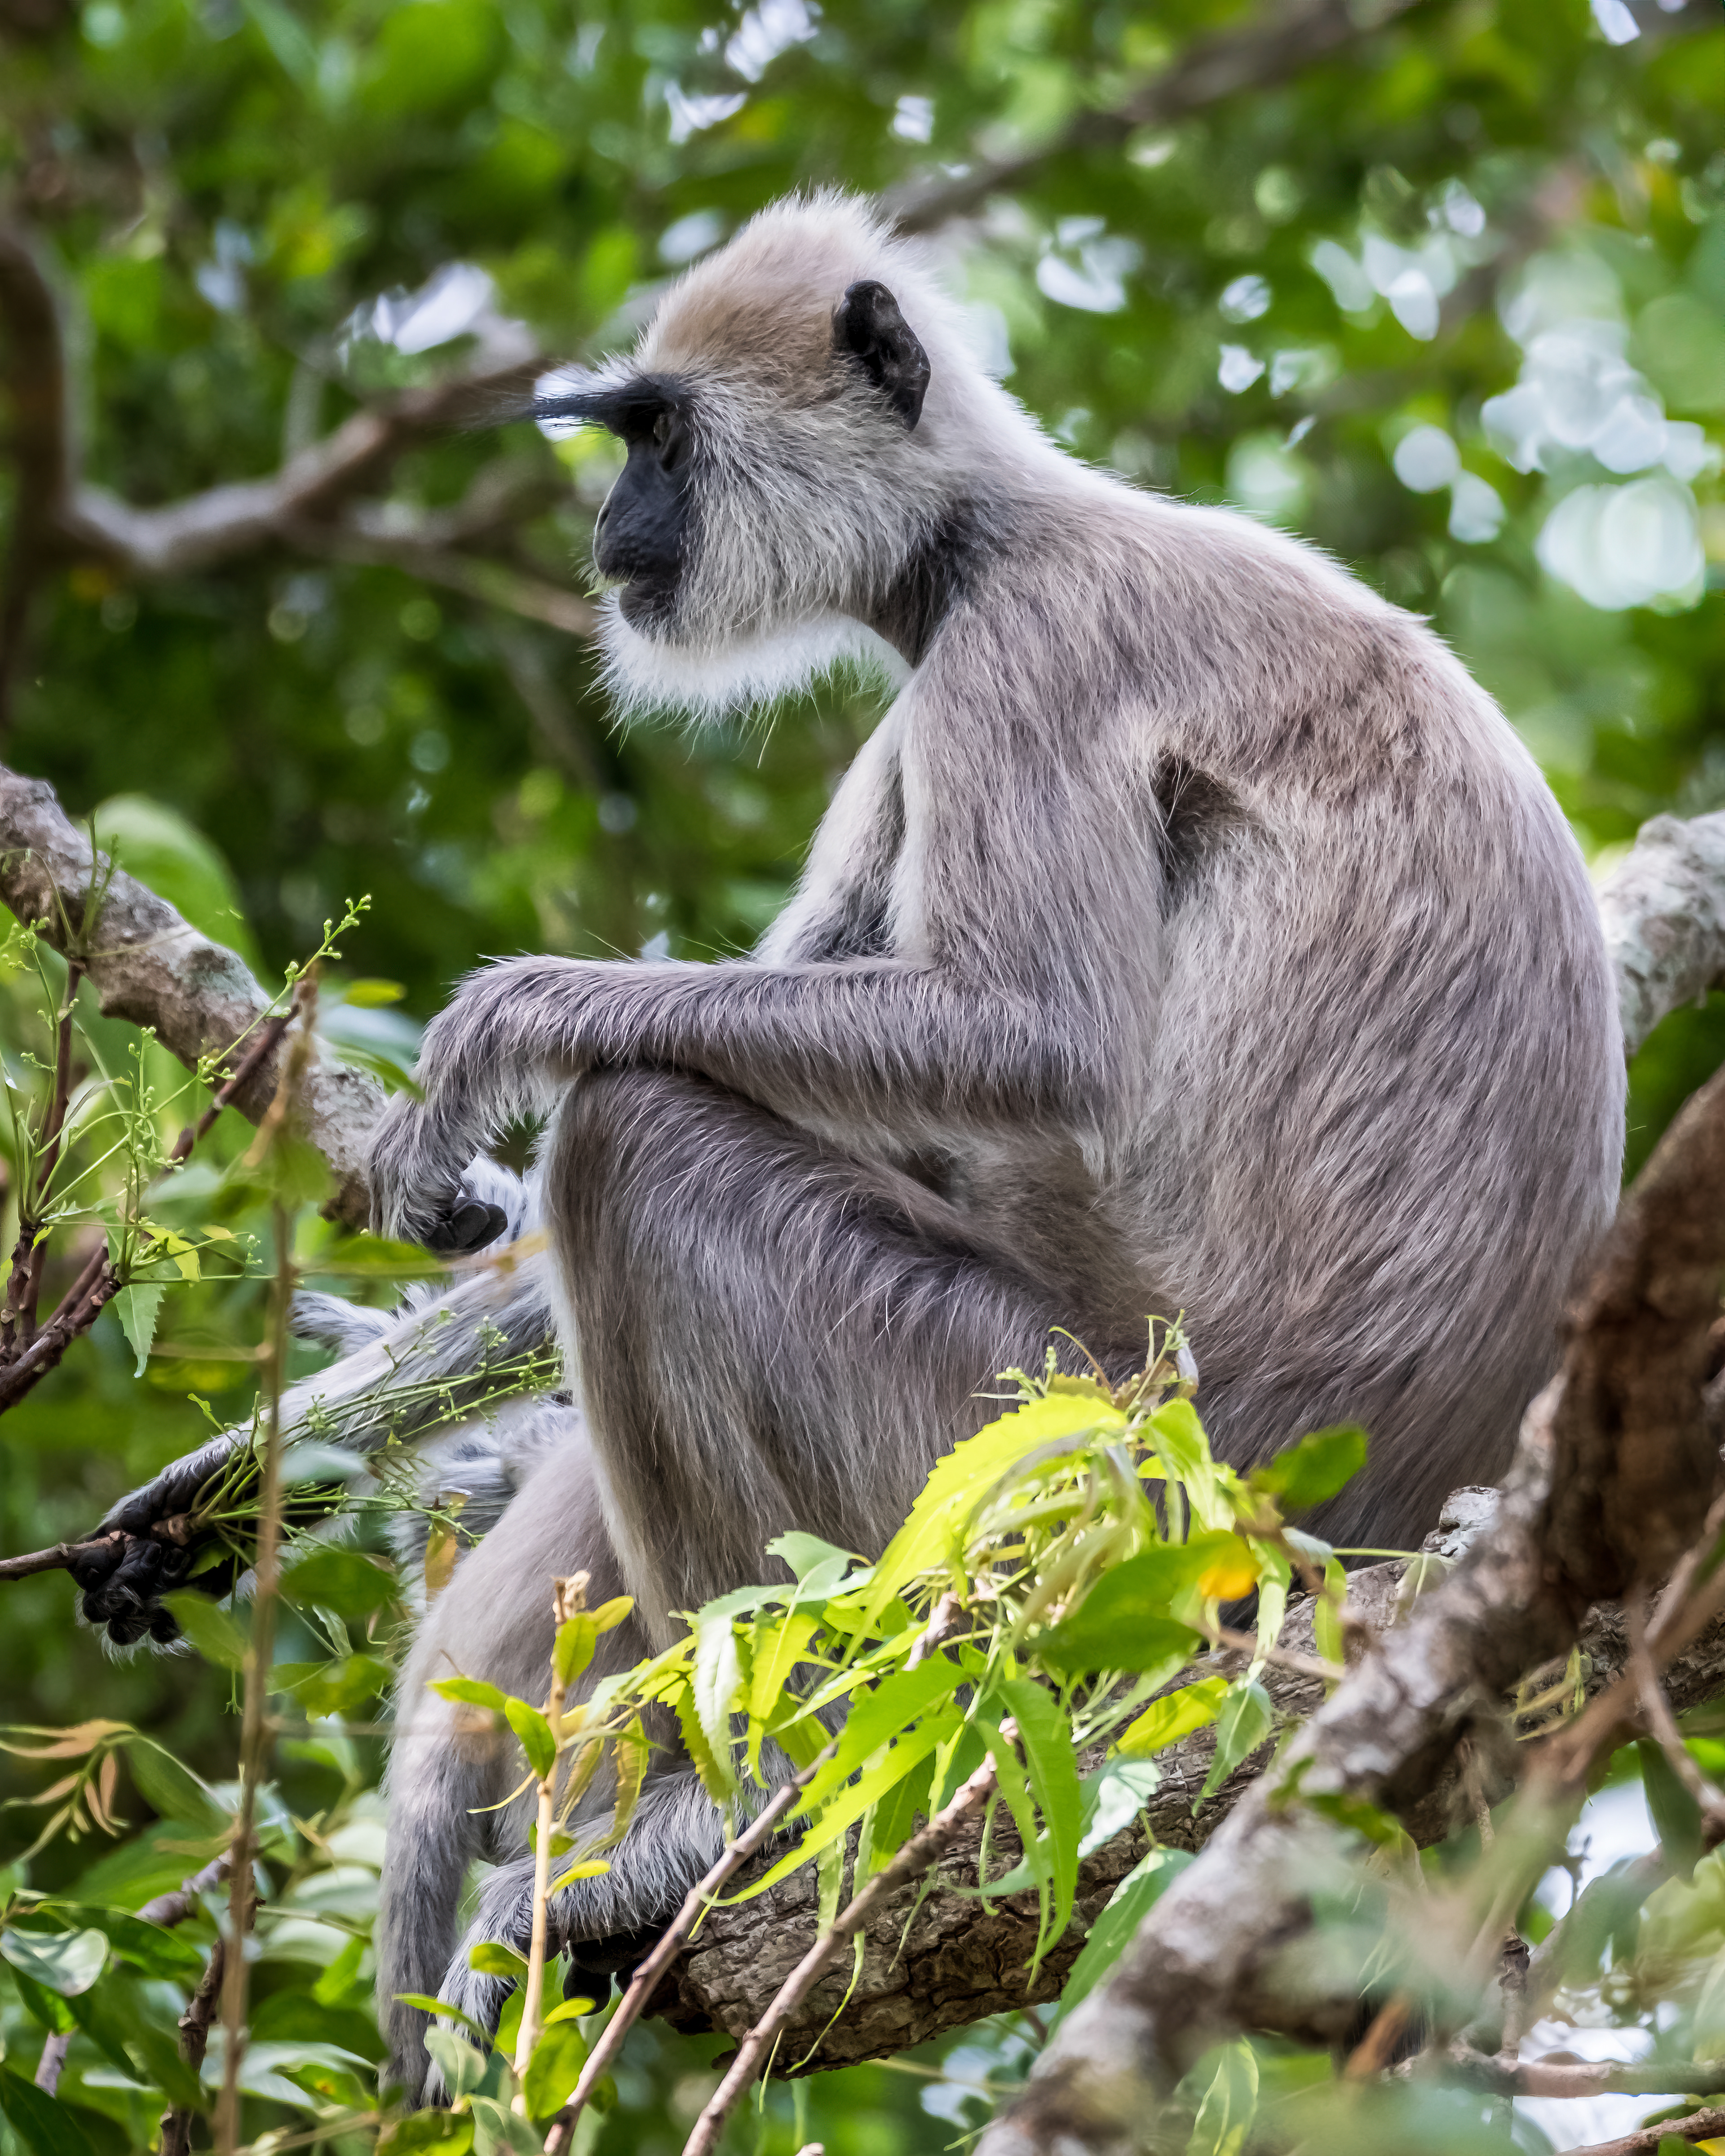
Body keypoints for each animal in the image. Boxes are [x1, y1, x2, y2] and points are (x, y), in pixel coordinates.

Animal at [74, 191, 1625, 2103]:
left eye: (657, 437)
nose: (611, 533)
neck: (991, 527)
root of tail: (1349, 1534)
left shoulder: (1026, 642)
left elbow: (1034, 1034)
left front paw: (505, 1026)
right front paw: (226, 1487)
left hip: (1061, 1457)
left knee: (643, 1137)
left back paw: (730, 1819)